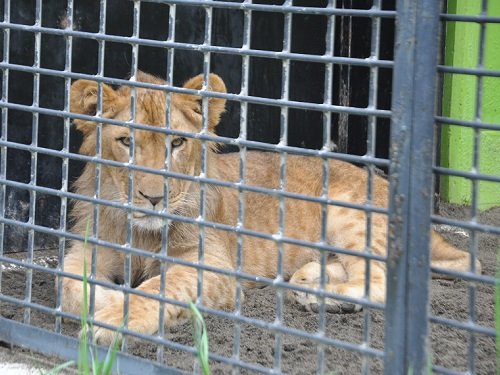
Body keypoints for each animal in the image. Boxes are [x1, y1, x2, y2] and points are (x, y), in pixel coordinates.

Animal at [62, 72, 480, 346]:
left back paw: (322, 297)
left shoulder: (213, 264)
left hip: (349, 213)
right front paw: (106, 298)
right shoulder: (90, 247)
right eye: (126, 142)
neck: (141, 231)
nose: (153, 198)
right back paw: (310, 280)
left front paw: (114, 320)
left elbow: (161, 288)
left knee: (380, 281)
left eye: (177, 143)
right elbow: (68, 281)